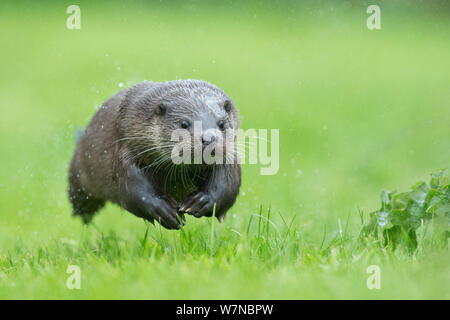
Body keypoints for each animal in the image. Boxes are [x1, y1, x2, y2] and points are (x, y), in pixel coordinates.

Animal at [67, 80, 241, 230]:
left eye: (221, 124)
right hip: (78, 175)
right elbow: (133, 189)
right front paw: (165, 211)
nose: (209, 138)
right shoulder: (126, 149)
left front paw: (200, 201)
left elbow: (227, 185)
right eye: (184, 123)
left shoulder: (230, 157)